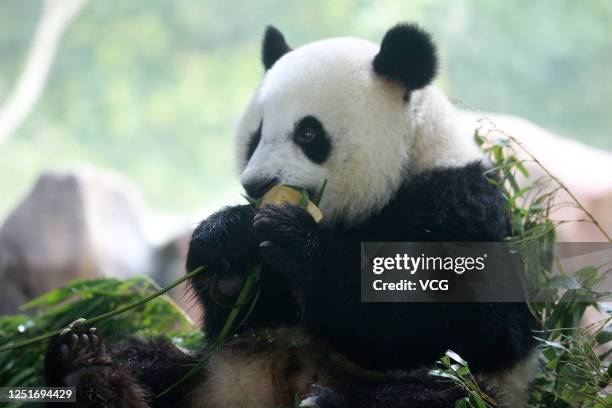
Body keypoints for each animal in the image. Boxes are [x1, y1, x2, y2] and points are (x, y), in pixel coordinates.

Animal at [45, 23, 536, 408]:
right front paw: (225, 242)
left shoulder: (457, 205)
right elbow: (243, 315)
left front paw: (296, 243)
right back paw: (83, 368)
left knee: (441, 393)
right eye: (256, 135)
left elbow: (458, 327)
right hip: (208, 370)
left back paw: (326, 403)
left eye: (308, 133)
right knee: (147, 361)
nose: (258, 185)